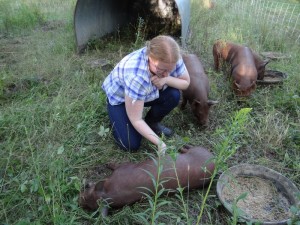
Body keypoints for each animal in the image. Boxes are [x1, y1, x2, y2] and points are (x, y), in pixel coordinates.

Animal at [79, 145, 216, 215]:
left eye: (86, 193)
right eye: (87, 205)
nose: (79, 200)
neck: (111, 192)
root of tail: (215, 160)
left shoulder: (124, 168)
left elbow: (117, 164)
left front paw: (107, 164)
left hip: (198, 150)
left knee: (189, 148)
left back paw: (181, 147)